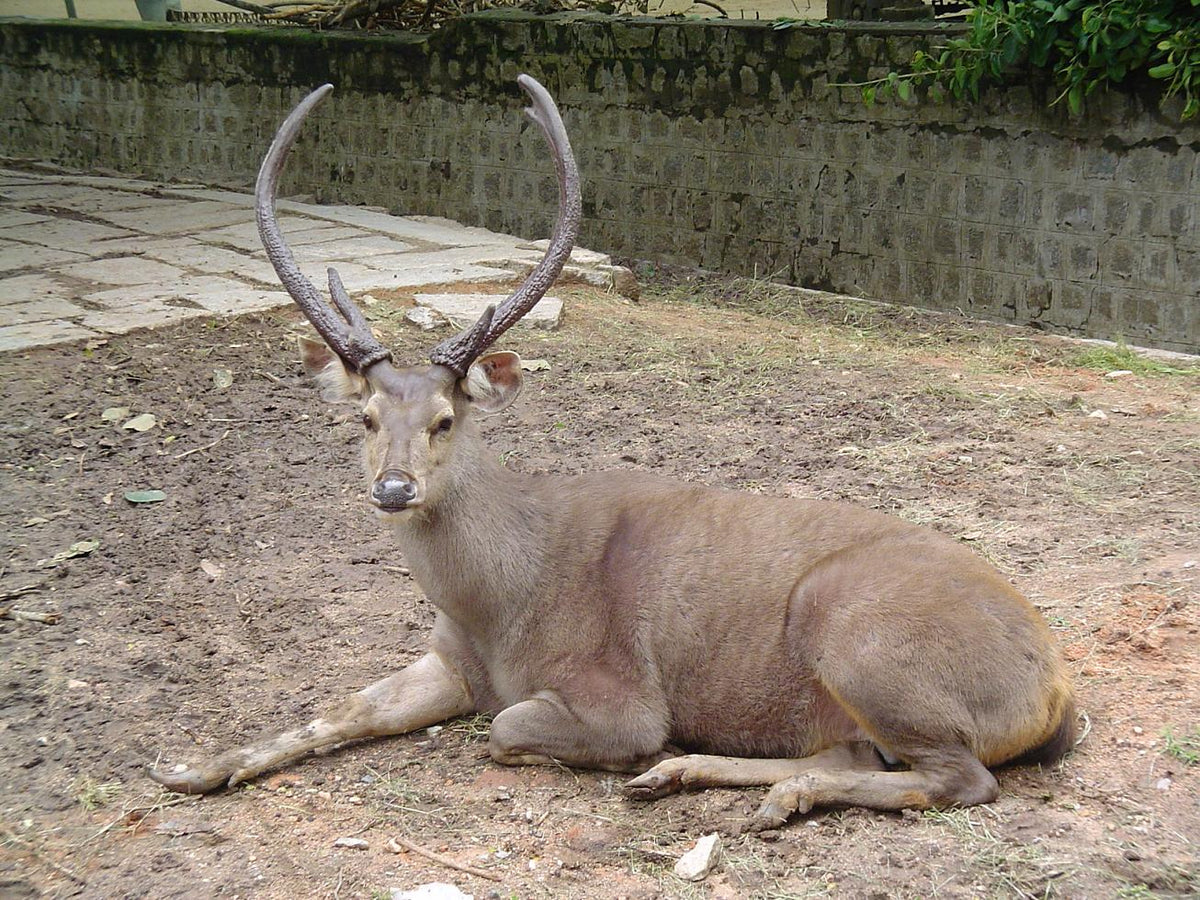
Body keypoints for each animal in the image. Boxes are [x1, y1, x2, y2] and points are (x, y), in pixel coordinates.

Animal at [149, 76, 1076, 831]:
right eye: (367, 417)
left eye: (447, 418)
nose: (394, 488)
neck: (498, 606)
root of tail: (1056, 689)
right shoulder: (447, 659)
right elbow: (339, 708)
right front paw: (192, 768)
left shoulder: (618, 695)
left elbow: (507, 727)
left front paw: (624, 756)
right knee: (855, 752)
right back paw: (703, 781)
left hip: (861, 635)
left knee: (961, 778)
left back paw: (744, 785)